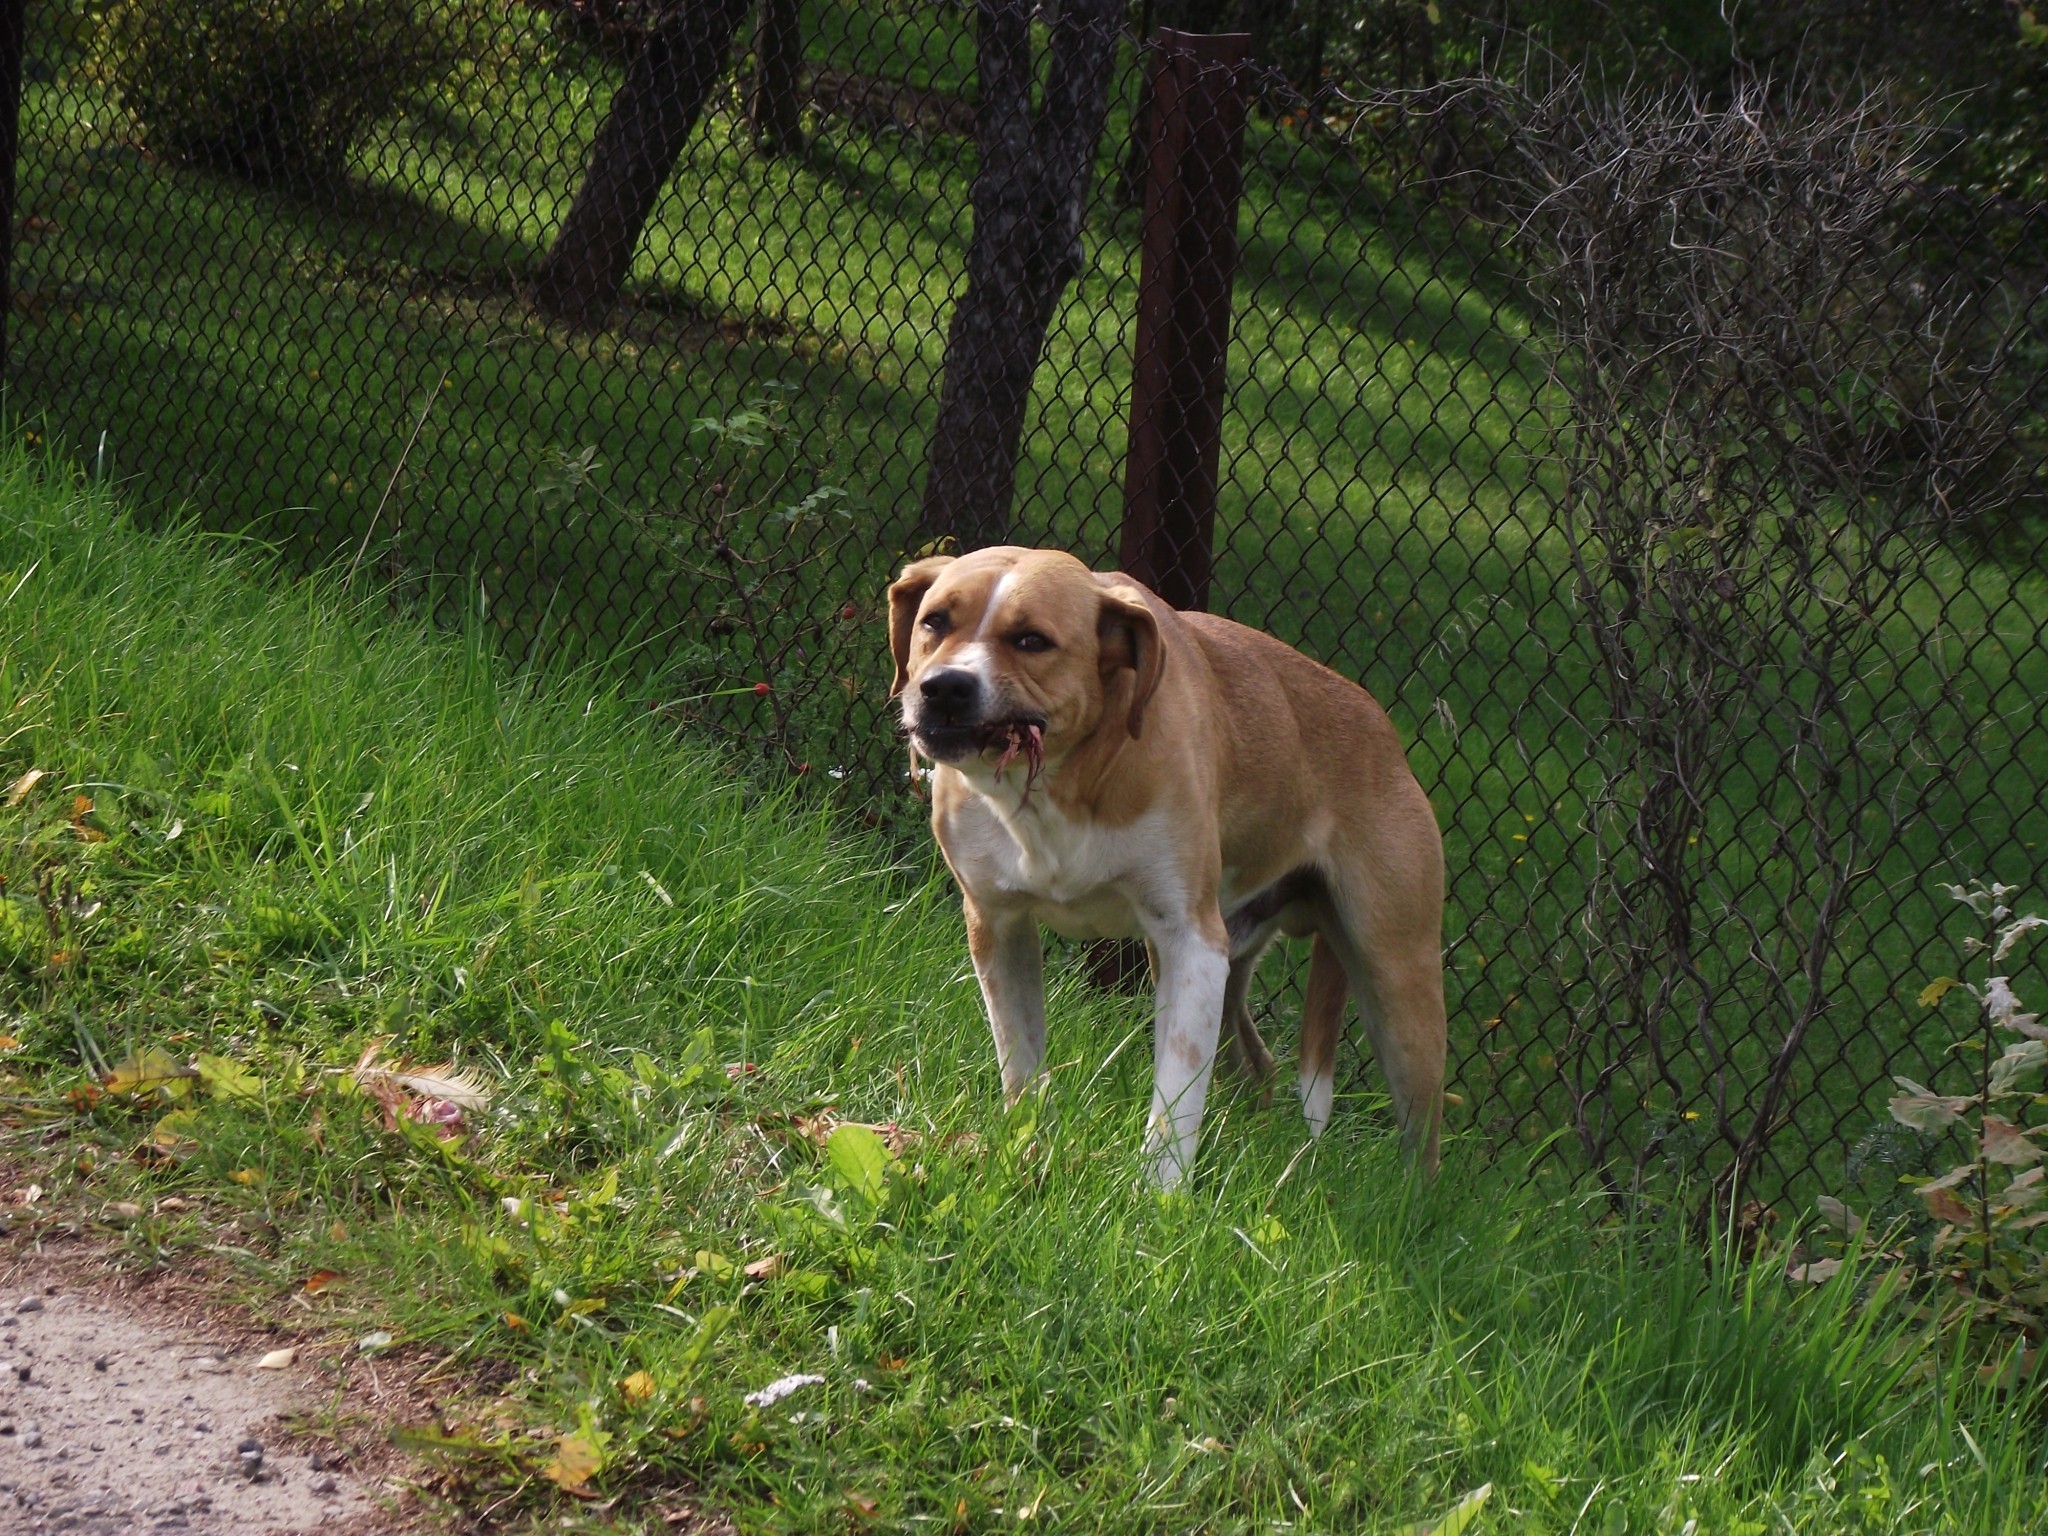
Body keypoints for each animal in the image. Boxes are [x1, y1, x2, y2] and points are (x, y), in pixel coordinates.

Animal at [888, 548, 1449, 1187]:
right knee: (1258, 1066)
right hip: (1232, 966)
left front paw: (1157, 1197)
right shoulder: (999, 928)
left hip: (1397, 984)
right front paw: (1028, 1151)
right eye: (934, 622)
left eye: (1032, 640)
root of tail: (1382, 726)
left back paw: (1412, 1198)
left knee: (1423, 1133)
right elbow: (1022, 1065)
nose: (944, 687)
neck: (1062, 781)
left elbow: (1175, 1103)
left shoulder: (1191, 943)